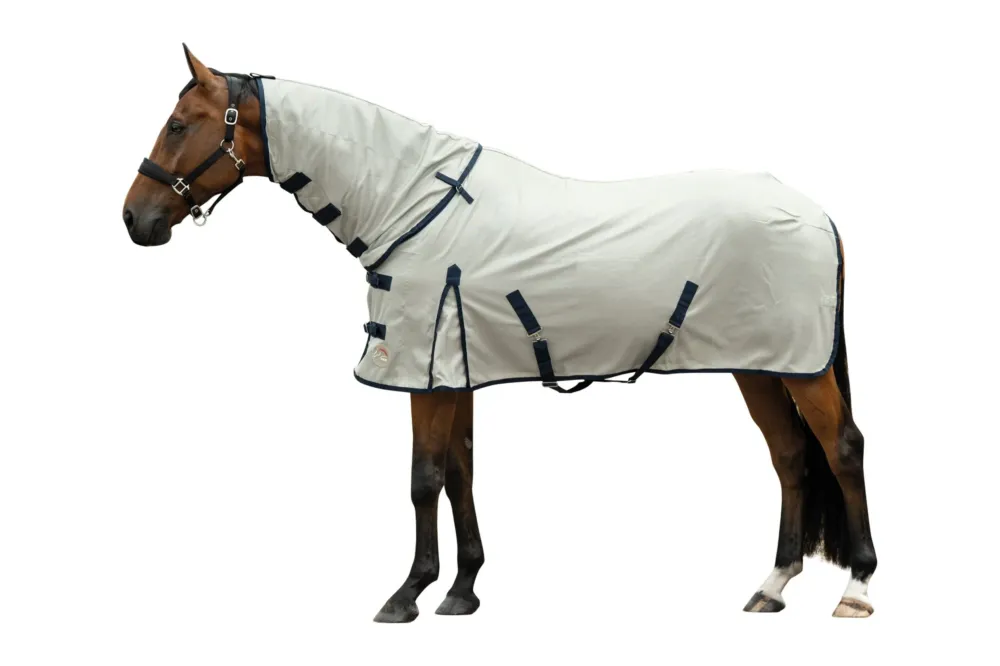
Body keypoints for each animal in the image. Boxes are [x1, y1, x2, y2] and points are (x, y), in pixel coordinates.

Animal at [121, 45, 877, 622]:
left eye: (179, 124)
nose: (135, 219)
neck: (414, 205)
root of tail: (816, 212)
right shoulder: (450, 369)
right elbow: (460, 472)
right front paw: (462, 589)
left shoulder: (422, 373)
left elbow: (423, 477)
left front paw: (407, 593)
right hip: (759, 365)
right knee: (789, 456)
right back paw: (772, 586)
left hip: (802, 368)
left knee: (840, 448)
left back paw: (858, 589)